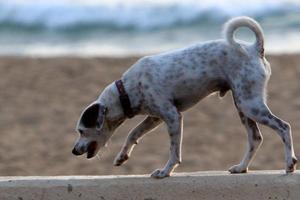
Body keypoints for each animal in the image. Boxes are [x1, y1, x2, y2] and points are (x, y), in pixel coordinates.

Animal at [72, 16, 298, 178]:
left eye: (82, 130)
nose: (73, 151)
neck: (127, 89)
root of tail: (254, 49)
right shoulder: (154, 118)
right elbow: (133, 134)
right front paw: (122, 156)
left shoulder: (173, 117)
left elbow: (174, 151)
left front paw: (165, 171)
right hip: (243, 105)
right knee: (255, 138)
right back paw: (241, 167)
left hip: (250, 105)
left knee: (283, 127)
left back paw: (289, 163)